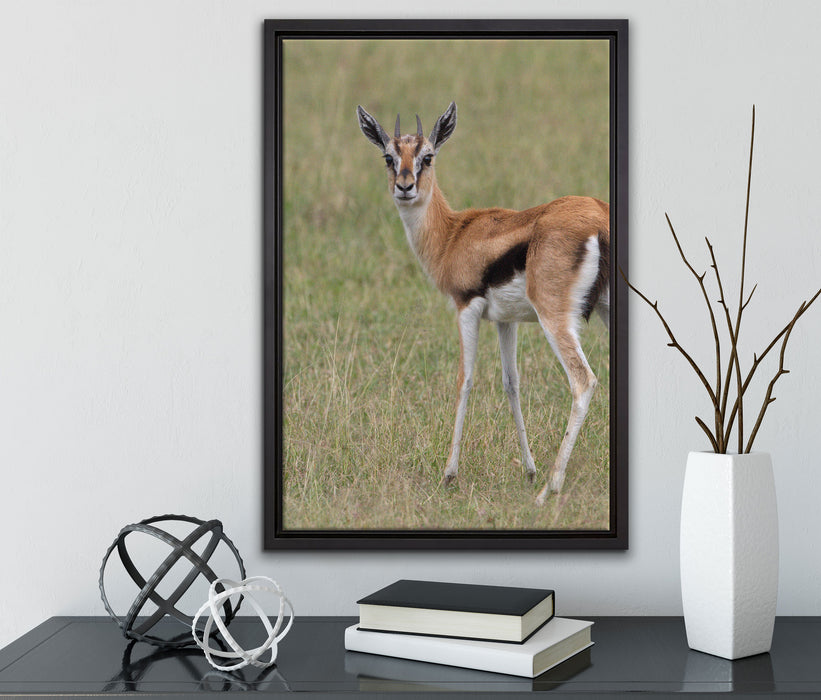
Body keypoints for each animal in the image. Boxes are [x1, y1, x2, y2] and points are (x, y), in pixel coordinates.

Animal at [356, 102, 610, 504]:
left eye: (428, 156)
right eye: (388, 157)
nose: (405, 187)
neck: (453, 235)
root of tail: (599, 217)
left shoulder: (467, 309)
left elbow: (465, 379)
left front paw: (449, 475)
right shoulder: (506, 321)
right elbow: (512, 383)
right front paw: (528, 470)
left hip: (554, 317)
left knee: (583, 382)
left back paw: (549, 490)